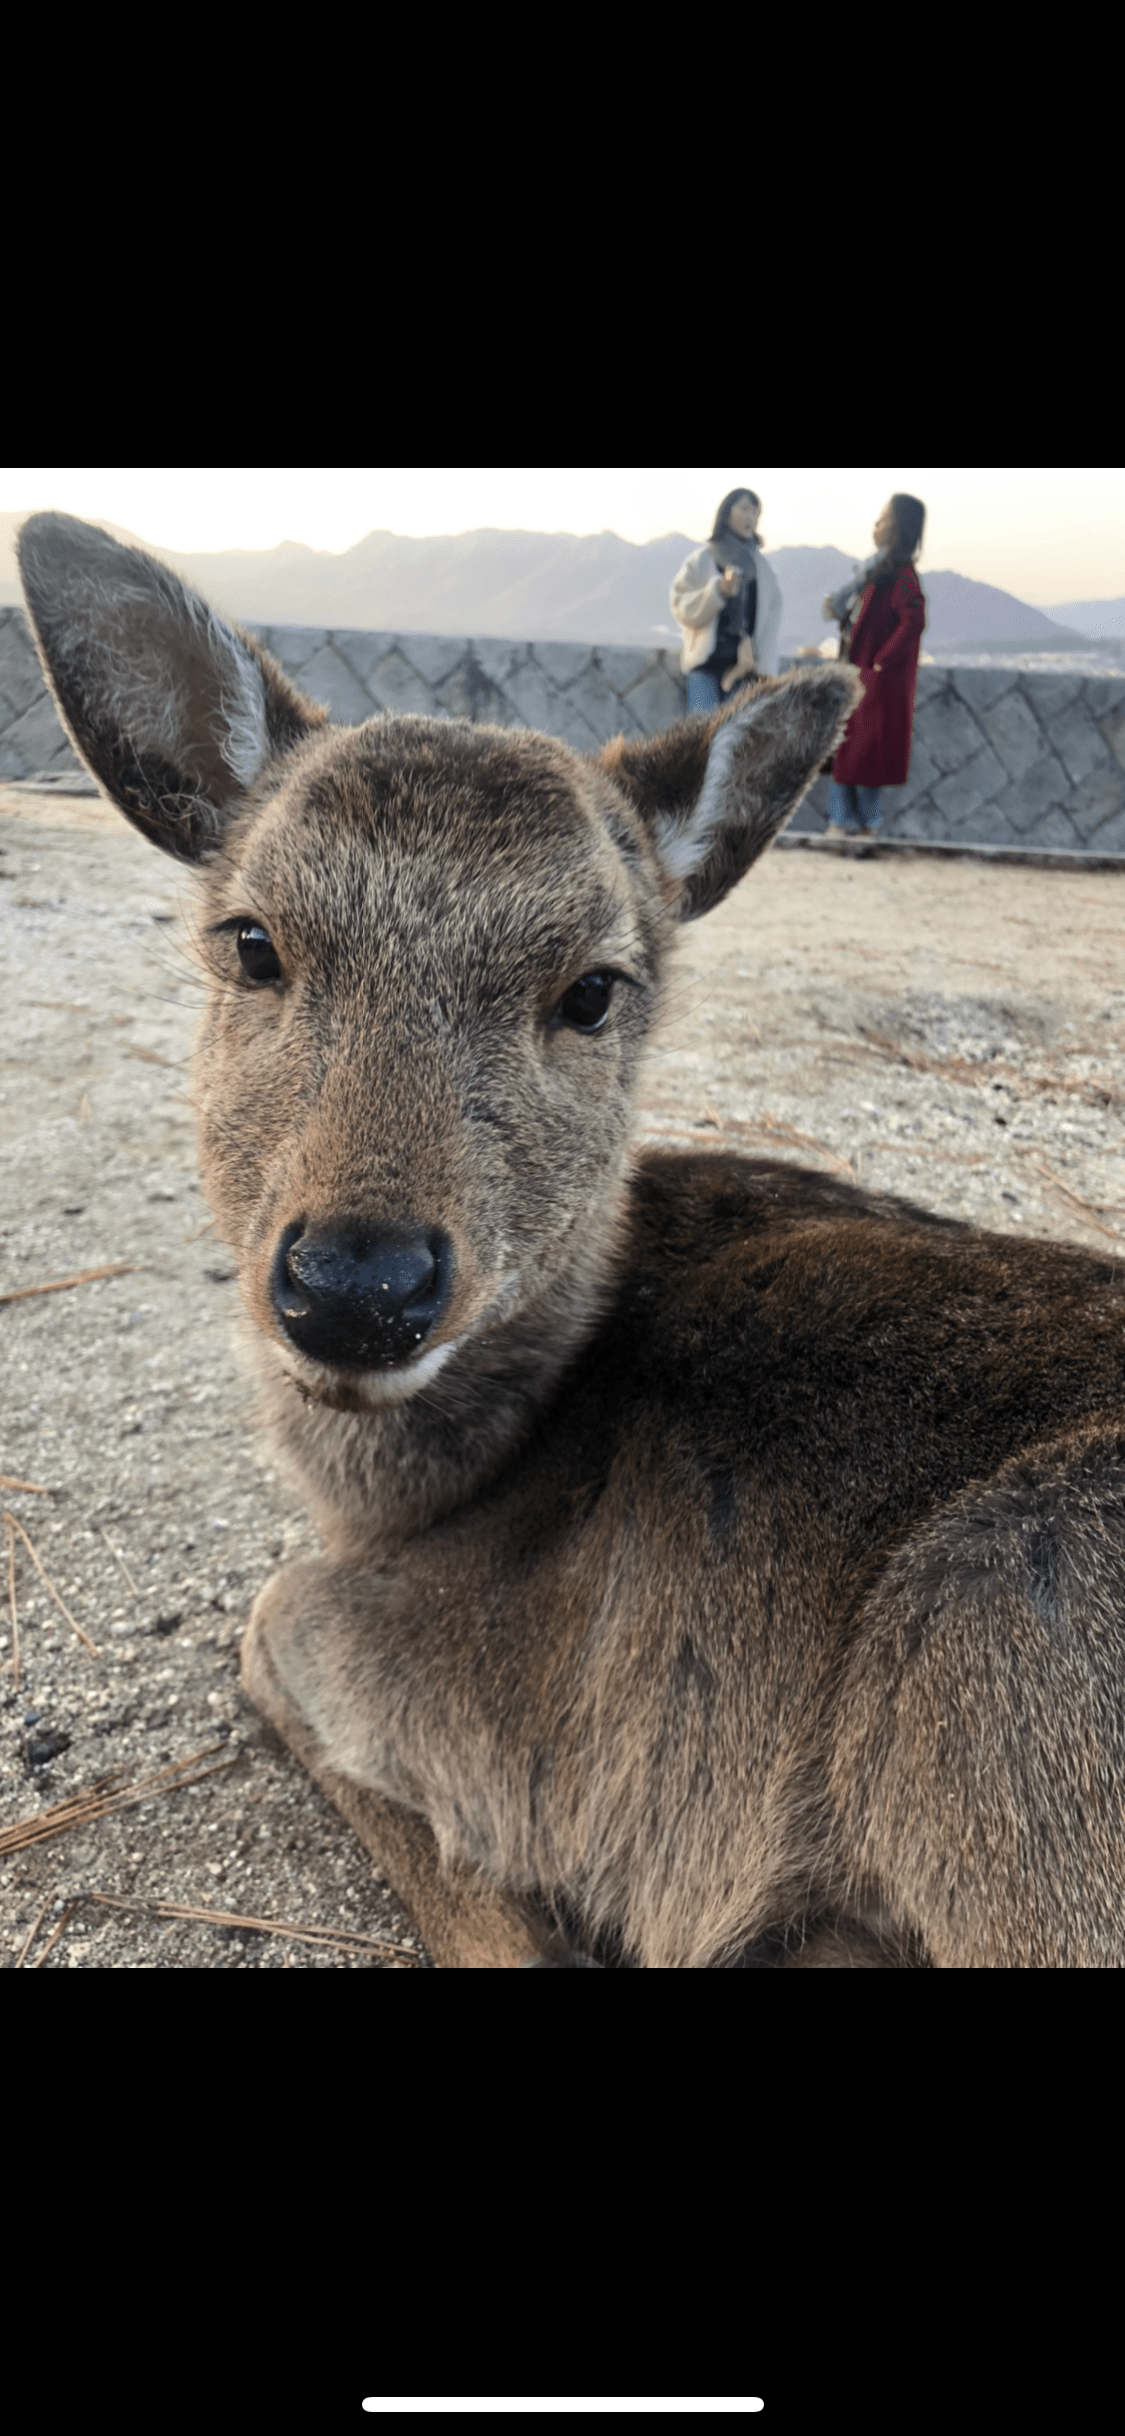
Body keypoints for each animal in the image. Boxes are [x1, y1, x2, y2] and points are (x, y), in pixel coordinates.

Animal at [19, 509, 1125, 1958]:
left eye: (593, 991)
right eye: (252, 942)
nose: (357, 1284)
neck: (418, 1498)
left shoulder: (507, 1721)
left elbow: (270, 1618)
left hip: (998, 1631)